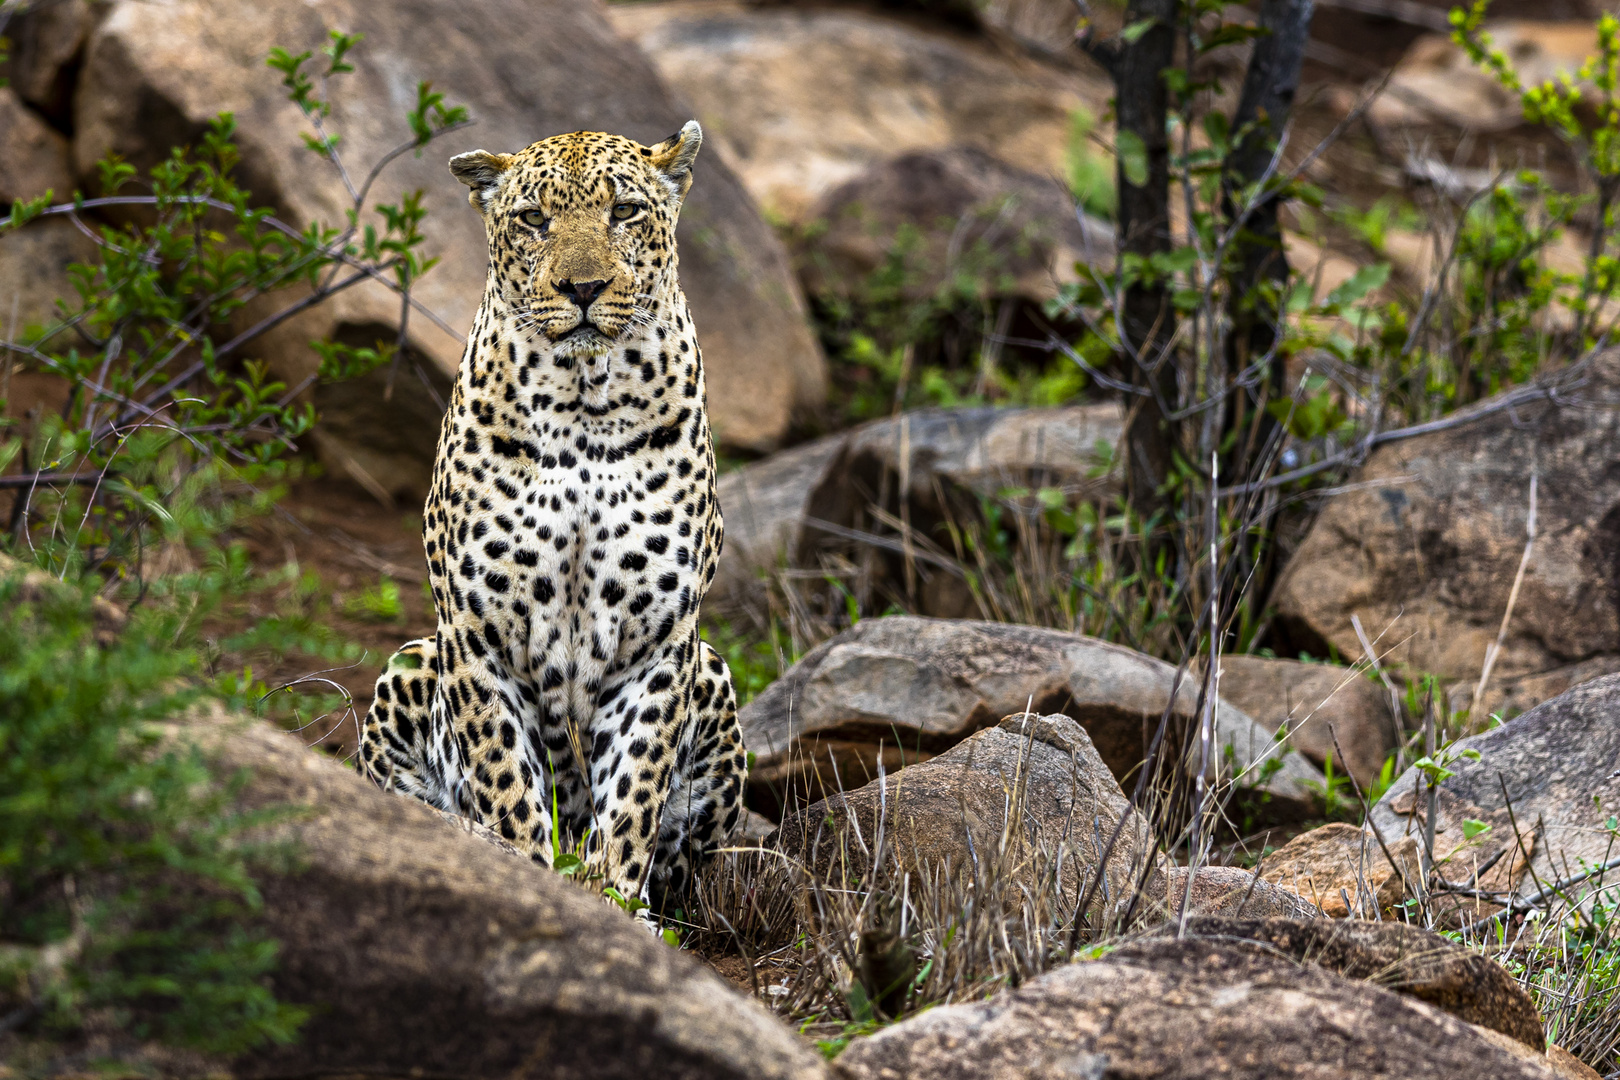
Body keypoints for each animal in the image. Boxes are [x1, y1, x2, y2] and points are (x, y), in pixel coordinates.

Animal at [354, 122, 745, 919]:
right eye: (534, 220)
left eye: (624, 211)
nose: (584, 289)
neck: (584, 406)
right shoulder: (476, 636)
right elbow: (507, 781)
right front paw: (534, 881)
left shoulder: (660, 644)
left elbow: (632, 797)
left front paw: (614, 905)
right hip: (412, 661)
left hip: (714, 674)